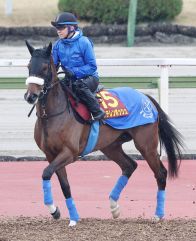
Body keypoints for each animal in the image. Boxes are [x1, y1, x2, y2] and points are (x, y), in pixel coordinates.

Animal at [23, 41, 185, 226]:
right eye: (28, 66)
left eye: (44, 67)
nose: (30, 96)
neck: (52, 114)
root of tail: (145, 97)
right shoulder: (51, 154)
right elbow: (62, 183)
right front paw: (66, 215)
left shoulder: (69, 153)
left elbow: (46, 173)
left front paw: (56, 211)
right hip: (111, 146)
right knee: (129, 165)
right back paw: (114, 207)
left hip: (146, 145)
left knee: (160, 173)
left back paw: (158, 215)